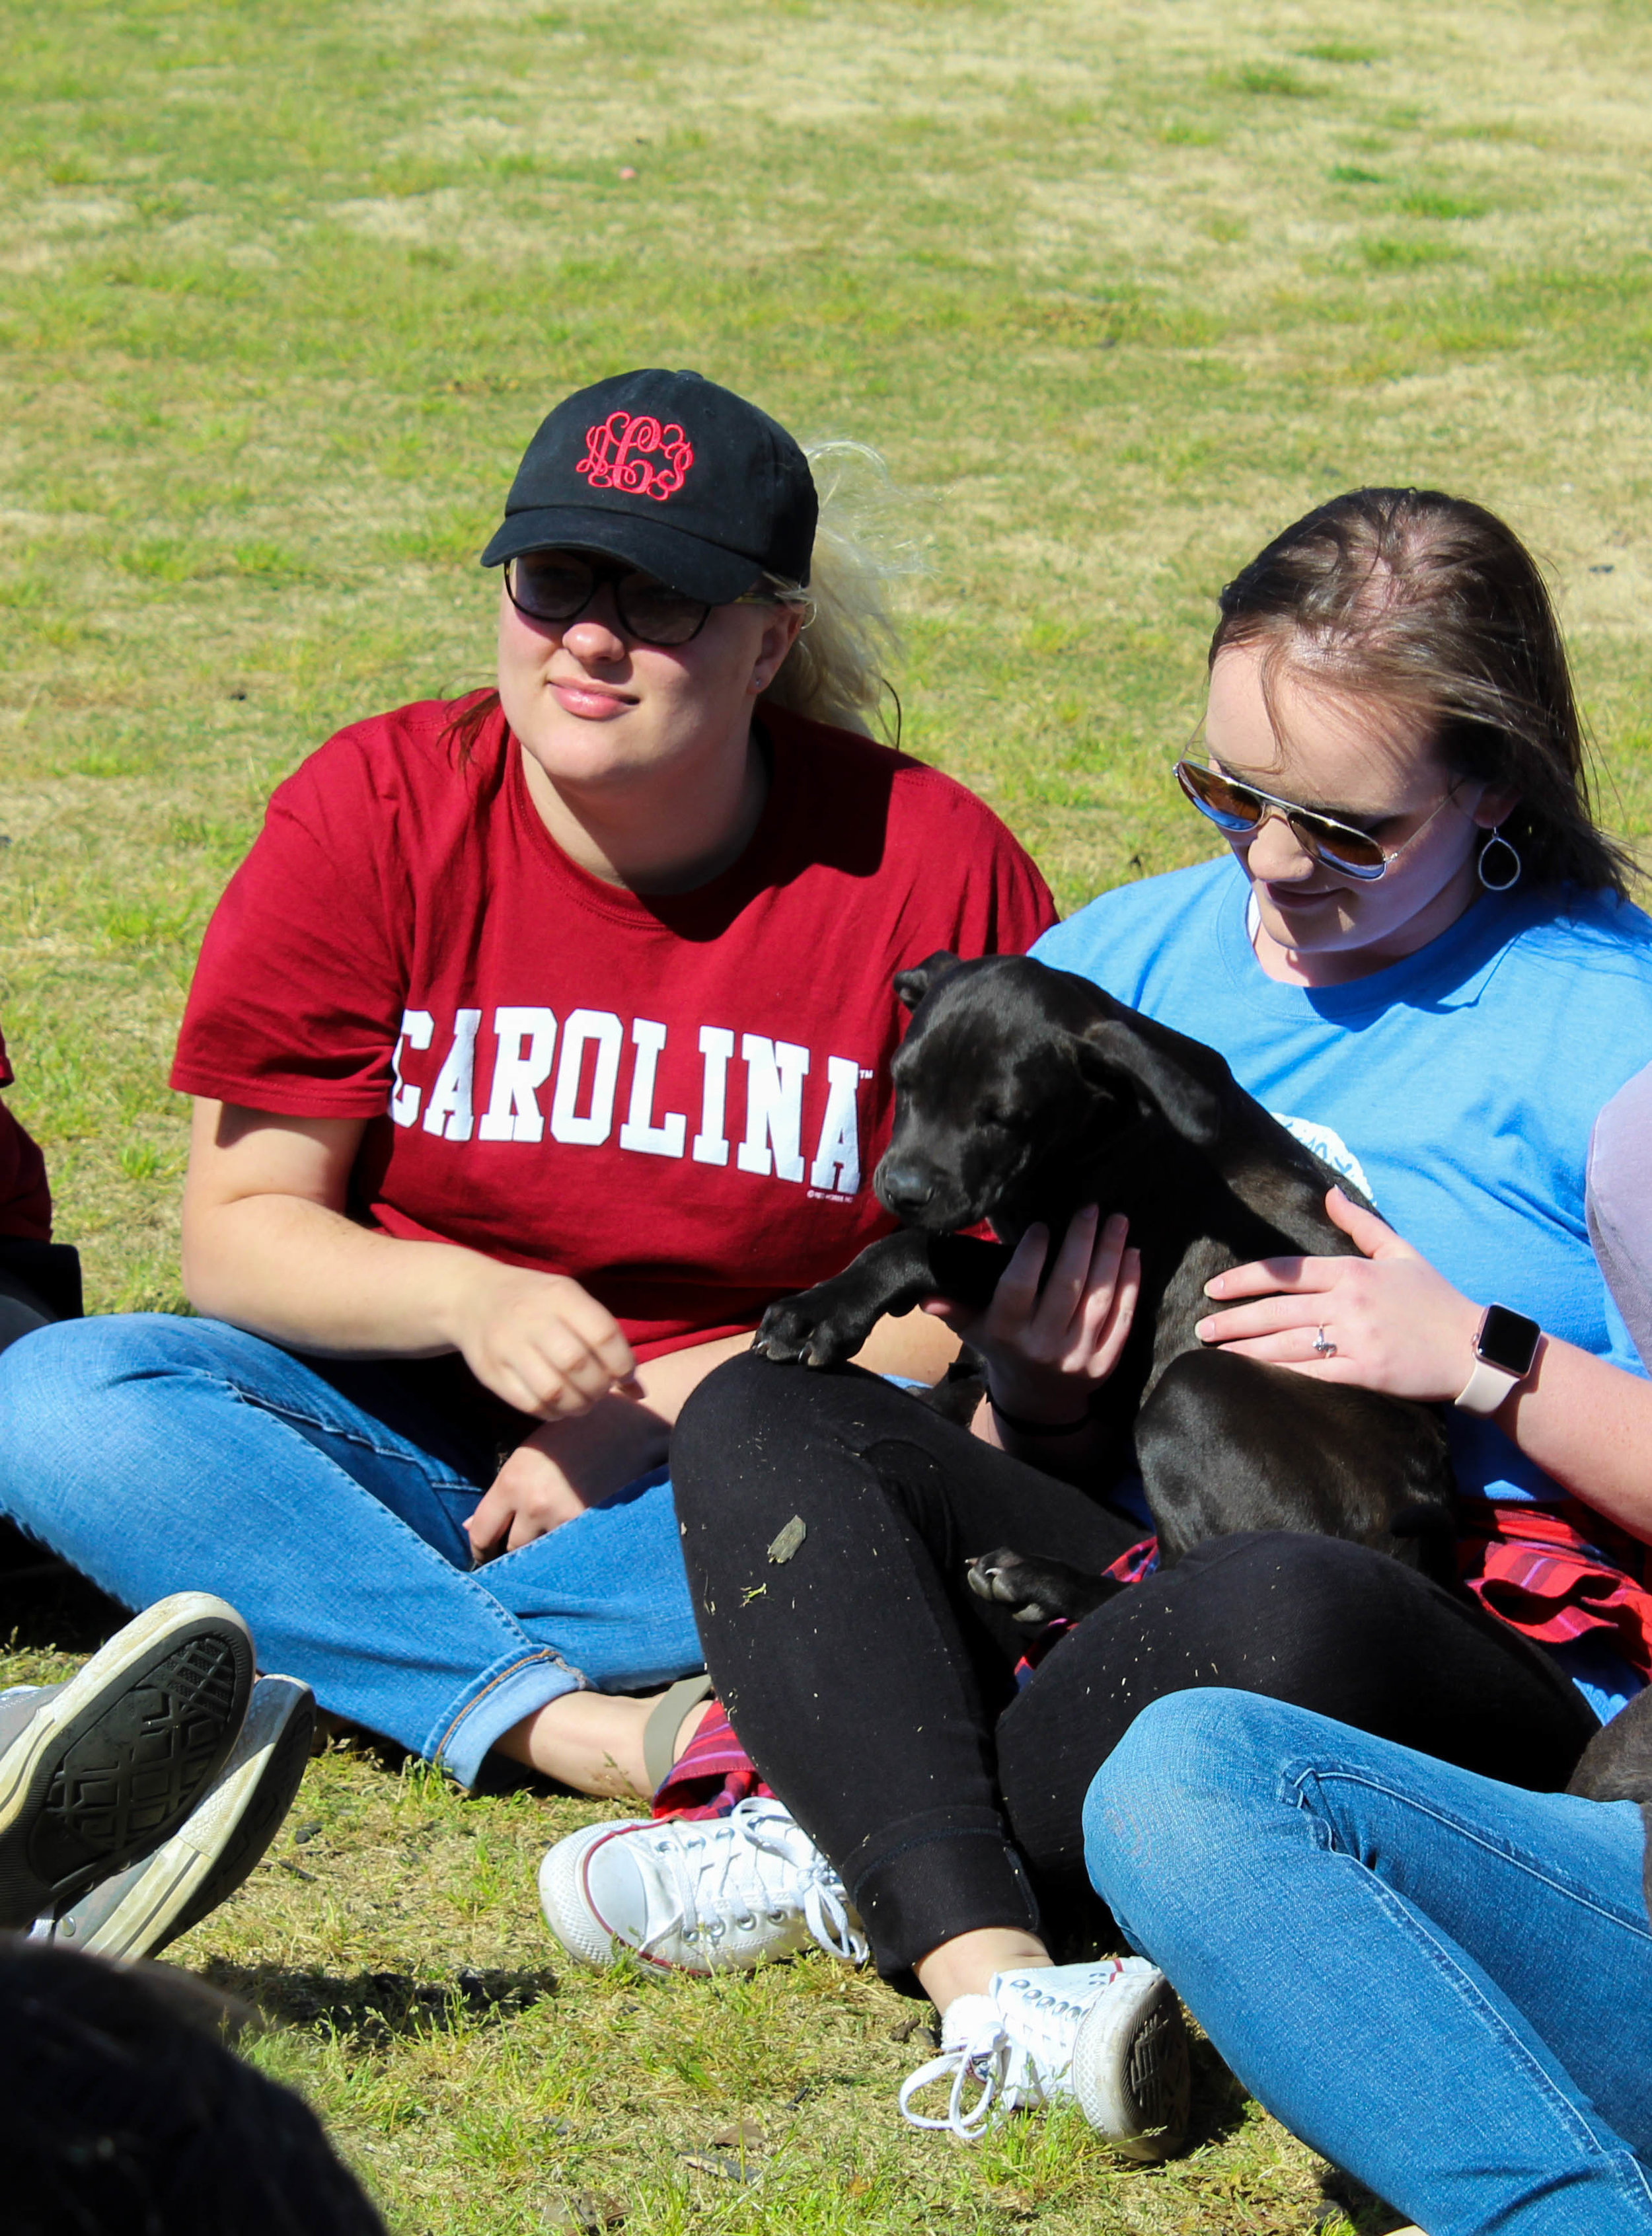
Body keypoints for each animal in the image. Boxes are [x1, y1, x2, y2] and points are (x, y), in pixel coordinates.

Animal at [755, 944, 1457, 1610]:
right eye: (905, 1085)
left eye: (1001, 1117)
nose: (901, 1190)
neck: (1108, 1120)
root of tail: (1424, 1539)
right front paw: (939, 1398)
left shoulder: (1068, 1258)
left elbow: (921, 1249)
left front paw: (820, 1310)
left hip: (1193, 1392)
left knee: (1174, 1578)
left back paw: (1041, 1580)